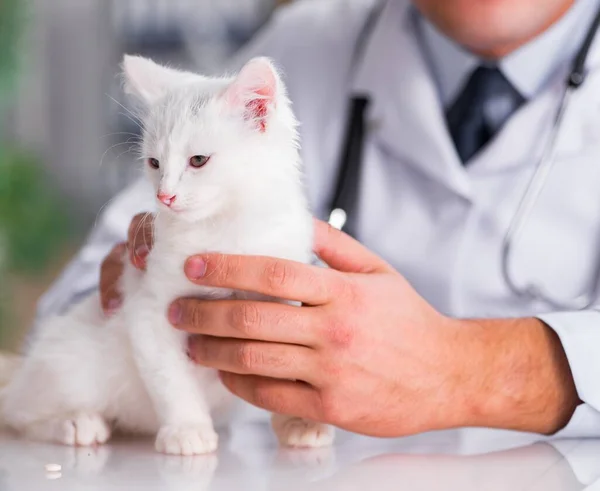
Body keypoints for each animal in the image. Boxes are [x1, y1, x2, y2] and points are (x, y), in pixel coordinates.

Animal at [1, 55, 332, 456]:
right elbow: (171, 380)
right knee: (18, 411)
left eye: (198, 160)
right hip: (73, 368)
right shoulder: (148, 308)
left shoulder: (284, 301)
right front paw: (187, 428)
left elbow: (285, 369)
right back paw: (76, 422)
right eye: (154, 163)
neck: (225, 228)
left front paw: (297, 420)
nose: (165, 197)